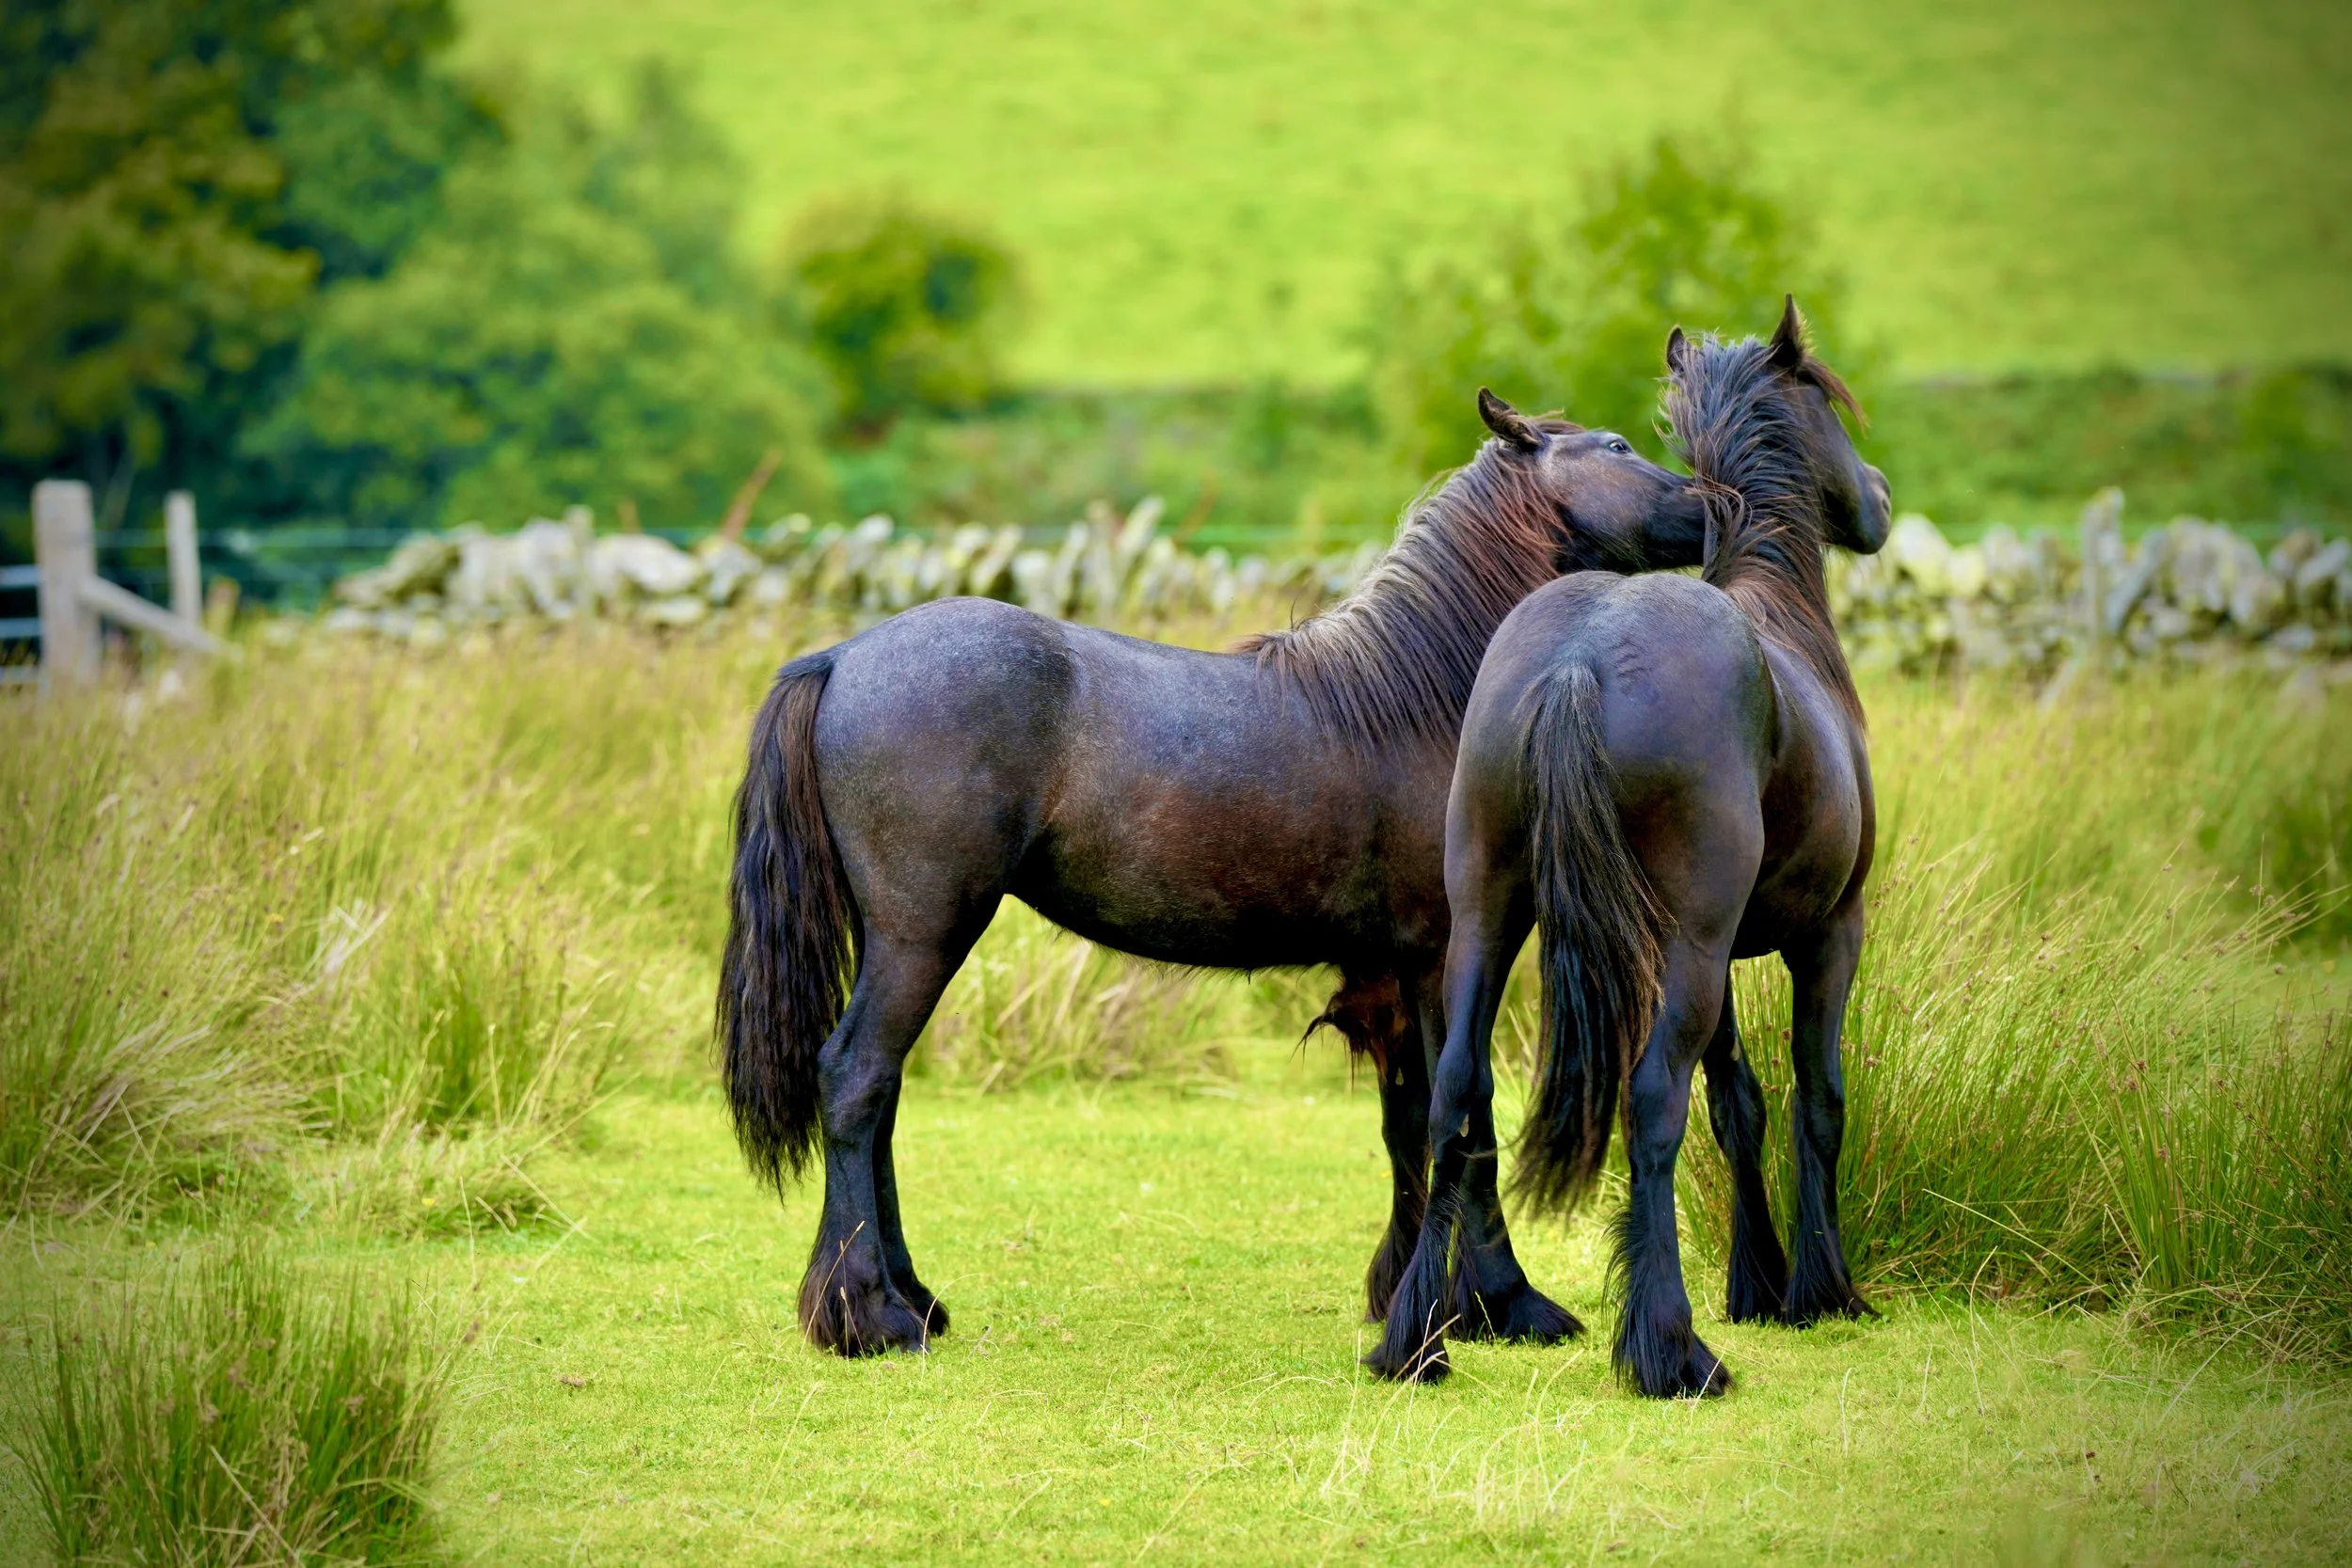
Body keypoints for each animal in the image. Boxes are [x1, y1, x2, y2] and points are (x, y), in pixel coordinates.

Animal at [718, 387, 1716, 1357]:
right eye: (1618, 446)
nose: (1721, 504)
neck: (1419, 701)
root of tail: (843, 656)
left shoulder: (1392, 973)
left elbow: (1407, 1121)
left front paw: (1415, 1294)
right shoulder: (1445, 956)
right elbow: (1464, 1116)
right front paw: (1506, 1303)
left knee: (879, 1092)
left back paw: (911, 1300)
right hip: (922, 932)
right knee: (855, 1078)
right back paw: (868, 1316)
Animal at [1367, 299, 1891, 1394]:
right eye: (1829, 405)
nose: (1880, 497)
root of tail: (1581, 657)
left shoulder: (1725, 956)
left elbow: (1741, 1103)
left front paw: (1759, 1281)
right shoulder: (1827, 931)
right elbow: (1815, 1097)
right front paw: (1820, 1290)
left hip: (1488, 919)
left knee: (1454, 1093)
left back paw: (1417, 1338)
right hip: (1687, 944)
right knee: (1653, 1098)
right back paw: (1671, 1347)